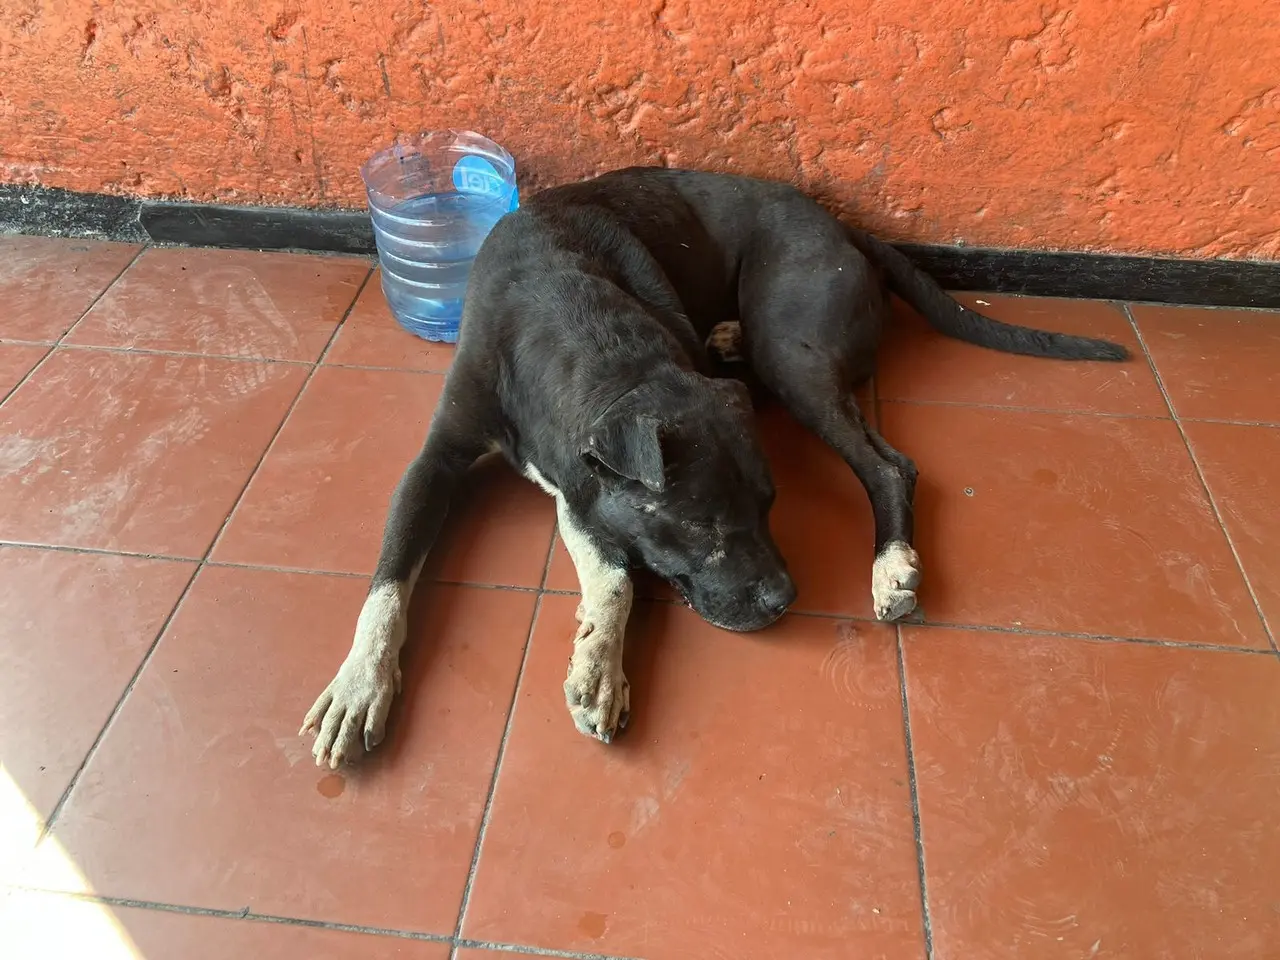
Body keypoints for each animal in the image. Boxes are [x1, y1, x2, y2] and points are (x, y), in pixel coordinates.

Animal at [299, 167, 1121, 768]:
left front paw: (599, 666)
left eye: (771, 501)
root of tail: (842, 227)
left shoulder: (584, 478)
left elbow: (620, 577)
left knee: (890, 466)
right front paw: (362, 681)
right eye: (698, 523)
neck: (570, 313)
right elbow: (393, 581)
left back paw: (891, 565)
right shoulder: (499, 469)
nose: (787, 600)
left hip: (792, 351)